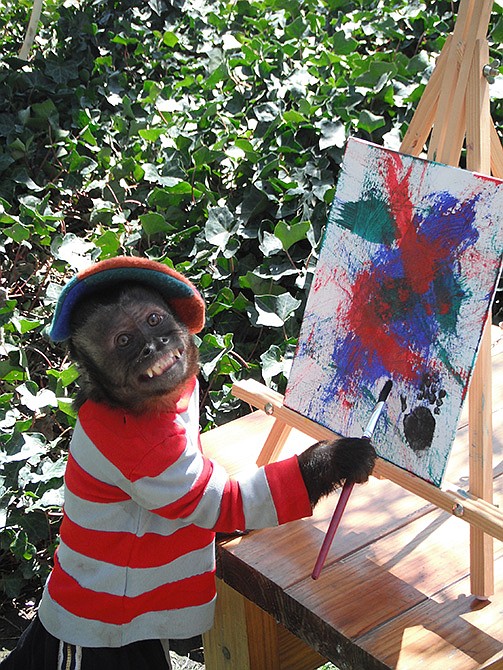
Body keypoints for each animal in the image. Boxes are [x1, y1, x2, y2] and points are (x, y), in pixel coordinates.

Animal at [0, 258, 378, 670]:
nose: (152, 346)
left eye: (153, 320)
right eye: (123, 341)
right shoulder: (149, 456)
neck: (136, 407)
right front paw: (340, 457)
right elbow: (223, 502)